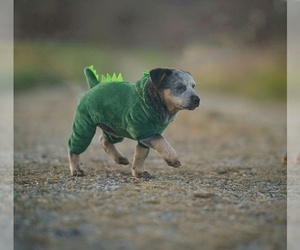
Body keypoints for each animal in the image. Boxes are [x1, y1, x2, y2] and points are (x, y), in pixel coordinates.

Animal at [68, 67, 199, 178]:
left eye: (193, 86)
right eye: (179, 87)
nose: (197, 99)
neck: (153, 101)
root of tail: (95, 85)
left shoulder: (145, 137)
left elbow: (140, 155)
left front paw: (139, 172)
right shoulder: (145, 131)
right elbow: (161, 140)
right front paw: (172, 159)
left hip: (114, 129)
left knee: (103, 139)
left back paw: (120, 158)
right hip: (84, 125)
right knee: (74, 148)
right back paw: (77, 170)